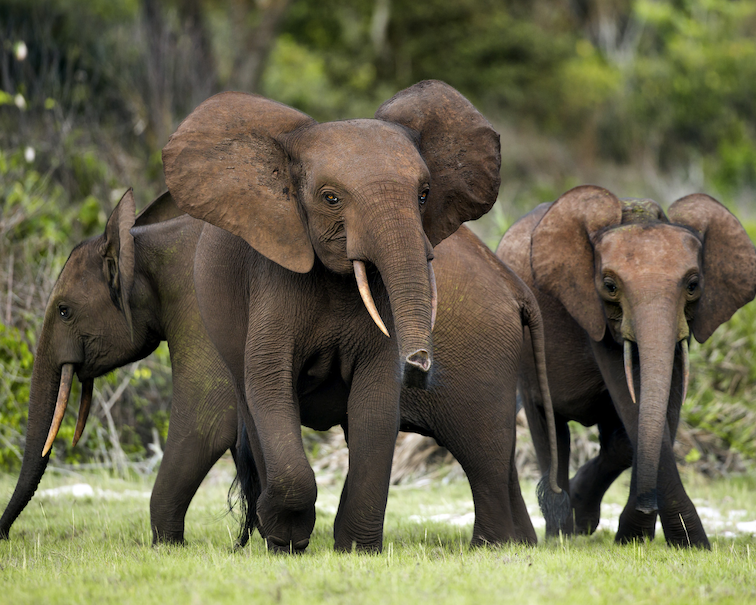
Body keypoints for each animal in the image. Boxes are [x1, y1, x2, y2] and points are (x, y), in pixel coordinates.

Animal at [0, 189, 241, 545]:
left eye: (64, 311)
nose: (3, 534)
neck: (139, 248)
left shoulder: (200, 303)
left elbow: (208, 418)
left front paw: (168, 545)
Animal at [162, 80, 564, 552]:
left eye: (424, 194)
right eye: (331, 198)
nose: (419, 364)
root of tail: (516, 285)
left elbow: (375, 397)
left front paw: (355, 550)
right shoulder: (271, 274)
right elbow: (269, 379)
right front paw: (287, 539)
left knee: (483, 448)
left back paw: (496, 547)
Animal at [496, 185, 756, 548]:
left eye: (693, 285)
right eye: (609, 286)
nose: (648, 506)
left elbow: (663, 398)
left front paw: (653, 537)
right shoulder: (594, 312)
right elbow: (630, 394)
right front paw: (674, 539)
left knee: (617, 441)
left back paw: (581, 516)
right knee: (549, 427)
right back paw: (562, 535)